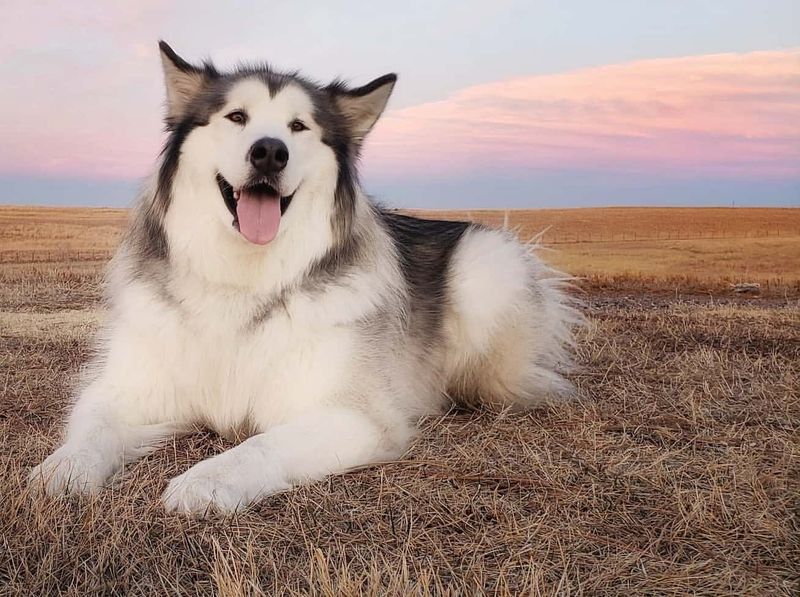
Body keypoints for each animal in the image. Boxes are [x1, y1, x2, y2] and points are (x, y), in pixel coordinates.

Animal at [31, 42, 580, 516]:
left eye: (299, 126)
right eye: (237, 117)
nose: (270, 152)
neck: (243, 281)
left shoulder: (354, 416)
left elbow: (260, 445)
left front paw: (205, 480)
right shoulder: (124, 389)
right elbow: (92, 431)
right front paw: (63, 468)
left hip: (487, 264)